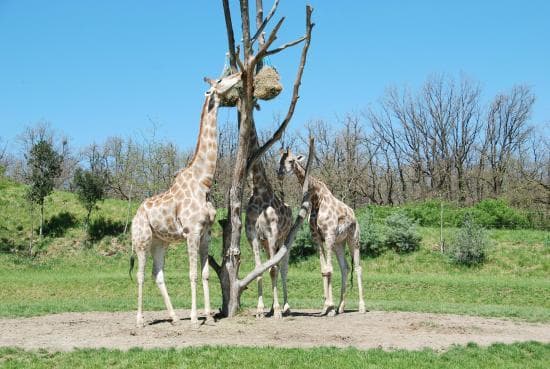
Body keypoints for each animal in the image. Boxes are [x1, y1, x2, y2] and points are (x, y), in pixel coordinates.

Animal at [132, 72, 242, 328]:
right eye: (221, 79)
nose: (240, 74)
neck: (204, 181)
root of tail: (134, 216)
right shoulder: (192, 232)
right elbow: (192, 274)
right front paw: (194, 318)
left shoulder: (206, 232)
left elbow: (204, 273)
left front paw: (209, 317)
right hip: (141, 240)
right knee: (140, 275)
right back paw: (140, 320)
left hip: (159, 242)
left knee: (157, 274)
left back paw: (174, 318)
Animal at [247, 125, 296, 318]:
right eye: (278, 158)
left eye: (290, 160)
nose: (280, 173)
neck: (259, 191)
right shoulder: (254, 236)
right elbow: (259, 269)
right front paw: (260, 309)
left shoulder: (273, 234)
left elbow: (274, 270)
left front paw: (277, 310)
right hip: (268, 244)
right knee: (270, 266)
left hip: (283, 241)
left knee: (282, 269)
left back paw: (286, 307)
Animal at [280, 148, 366, 314]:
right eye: (280, 160)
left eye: (291, 160)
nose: (280, 172)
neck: (316, 199)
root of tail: (355, 216)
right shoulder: (317, 238)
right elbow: (323, 270)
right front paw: (326, 306)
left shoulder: (329, 235)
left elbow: (329, 270)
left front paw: (329, 307)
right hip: (339, 243)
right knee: (345, 268)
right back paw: (341, 307)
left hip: (353, 239)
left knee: (358, 267)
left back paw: (362, 307)